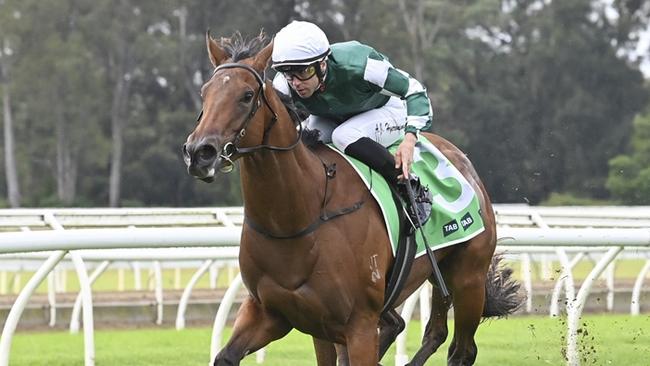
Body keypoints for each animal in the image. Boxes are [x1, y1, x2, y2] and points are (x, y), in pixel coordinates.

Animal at [182, 31, 520, 366]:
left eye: (247, 95)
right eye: (204, 92)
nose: (199, 152)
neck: (299, 217)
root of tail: (462, 159)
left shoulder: (360, 324)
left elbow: (411, 88)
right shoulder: (273, 313)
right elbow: (225, 356)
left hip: (468, 278)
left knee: (462, 351)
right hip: (438, 274)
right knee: (429, 330)